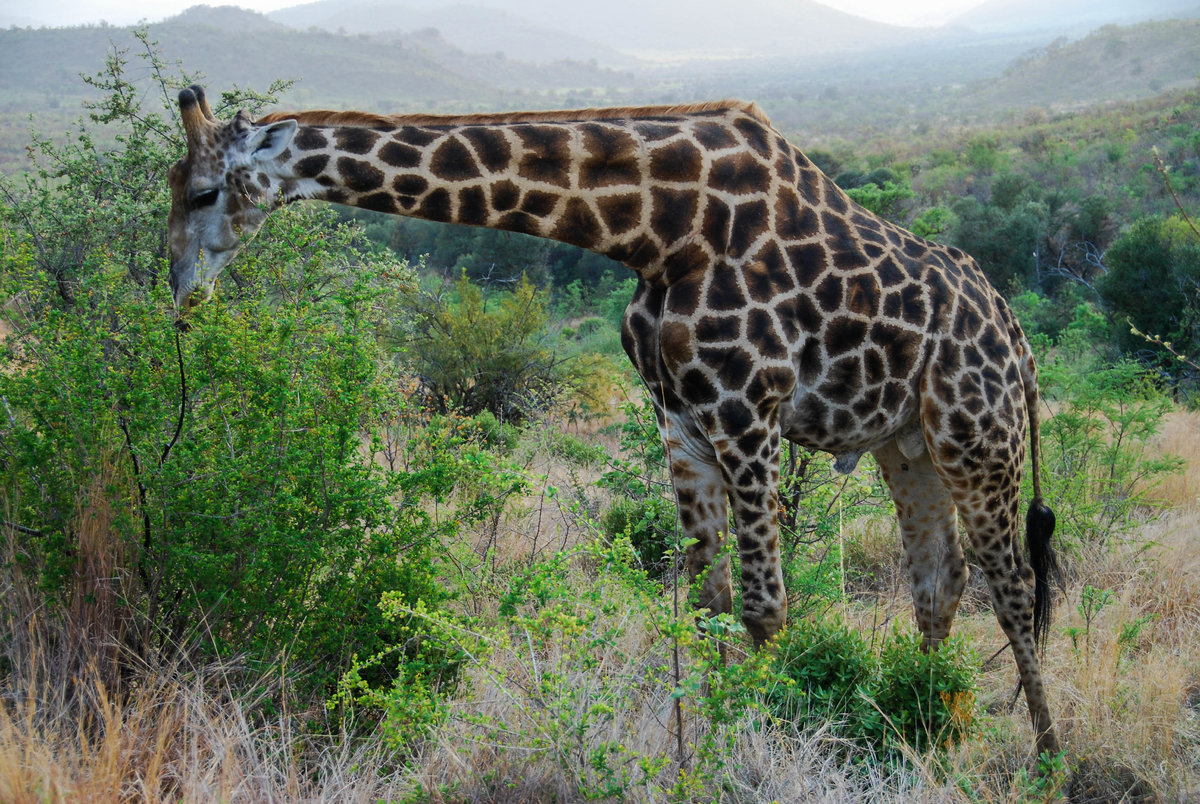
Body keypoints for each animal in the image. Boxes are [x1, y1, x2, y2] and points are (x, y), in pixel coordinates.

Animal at [167, 85, 1059, 755]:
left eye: (204, 191)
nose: (180, 298)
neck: (654, 230)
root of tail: (1017, 337)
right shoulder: (681, 419)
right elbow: (704, 599)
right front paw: (705, 742)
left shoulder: (750, 410)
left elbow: (766, 606)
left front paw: (766, 741)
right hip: (909, 444)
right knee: (940, 581)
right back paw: (922, 721)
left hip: (981, 435)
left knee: (1013, 583)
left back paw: (1048, 753)